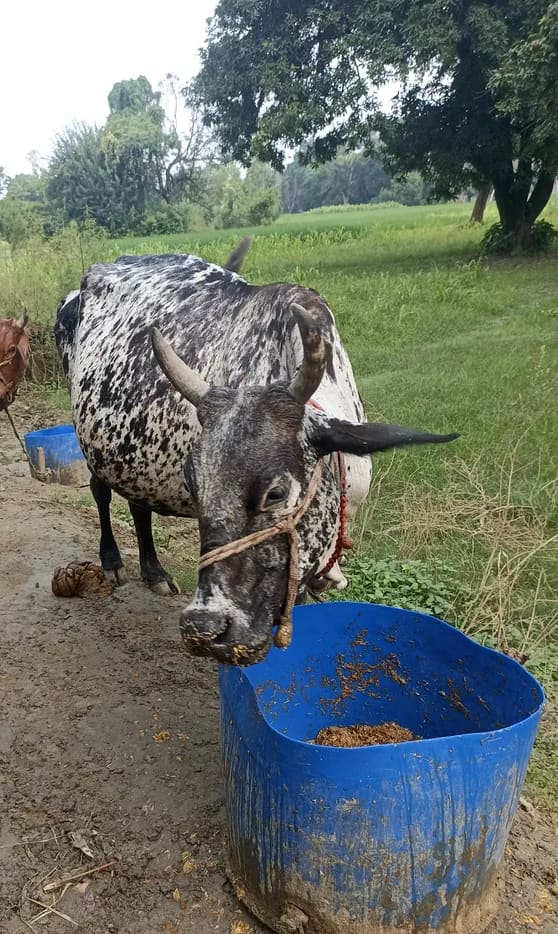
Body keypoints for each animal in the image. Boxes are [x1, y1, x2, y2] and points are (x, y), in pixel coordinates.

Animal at [54, 242, 457, 665]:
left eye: (276, 493)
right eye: (194, 487)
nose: (203, 629)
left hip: (136, 450)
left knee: (138, 505)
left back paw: (155, 573)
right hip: (92, 442)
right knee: (101, 493)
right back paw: (113, 562)